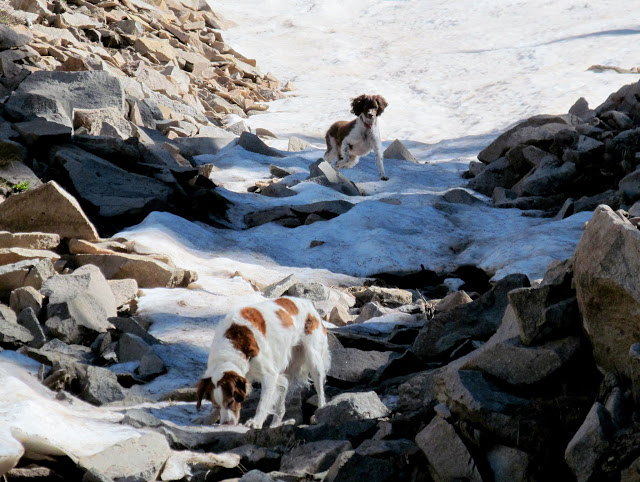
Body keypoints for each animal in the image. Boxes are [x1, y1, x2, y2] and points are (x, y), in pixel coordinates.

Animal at [195, 298, 330, 430]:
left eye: (231, 402)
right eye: (216, 405)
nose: (226, 423)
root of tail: (308, 303)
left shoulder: (269, 375)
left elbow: (262, 403)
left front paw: (255, 422)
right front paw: (208, 418)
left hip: (314, 361)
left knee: (320, 394)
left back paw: (319, 414)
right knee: (283, 398)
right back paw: (275, 425)